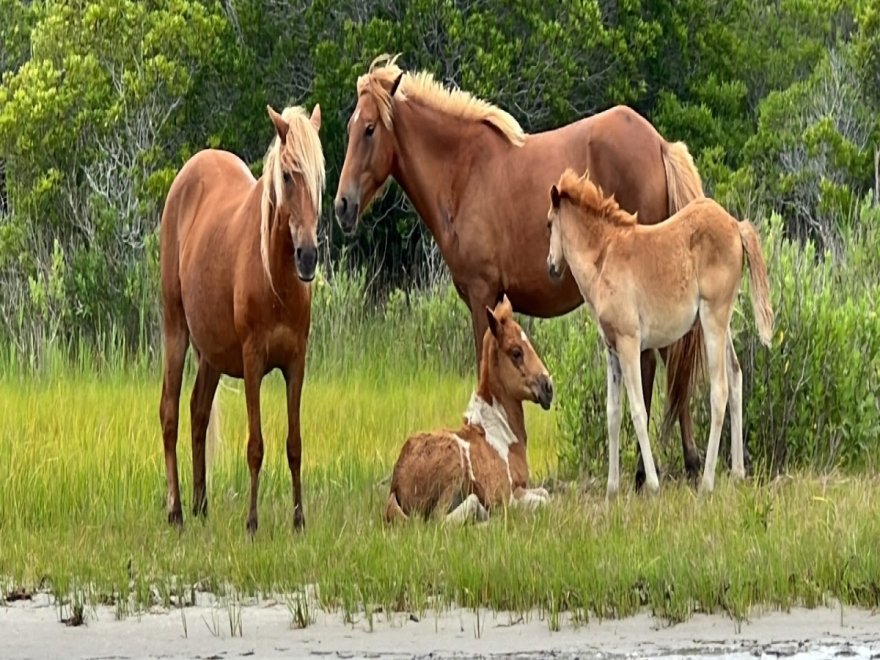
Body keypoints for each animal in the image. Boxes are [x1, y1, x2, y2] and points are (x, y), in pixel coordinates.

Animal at [160, 104, 324, 536]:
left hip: (212, 354)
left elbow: (295, 444)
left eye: (320, 175)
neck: (276, 279)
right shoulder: (253, 360)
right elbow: (255, 446)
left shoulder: (296, 362)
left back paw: (201, 505)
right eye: (287, 174)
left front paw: (299, 520)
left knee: (198, 412)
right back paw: (176, 510)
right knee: (170, 413)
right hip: (175, 331)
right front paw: (252, 522)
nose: (308, 256)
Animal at [334, 55, 704, 490]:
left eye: (369, 128)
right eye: (350, 127)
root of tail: (659, 143)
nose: (342, 205)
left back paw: (653, 471)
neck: (462, 173)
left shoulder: (481, 296)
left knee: (656, 364)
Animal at [384, 296, 552, 524]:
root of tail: (395, 486)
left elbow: (545, 493)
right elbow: (542, 501)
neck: (502, 434)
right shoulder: (505, 496)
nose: (548, 388)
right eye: (516, 352)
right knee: (439, 519)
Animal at [544, 168, 768, 498]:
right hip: (721, 322)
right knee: (736, 375)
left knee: (719, 390)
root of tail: (735, 225)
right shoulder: (611, 349)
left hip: (712, 319)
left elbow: (638, 410)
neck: (604, 258)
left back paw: (707, 483)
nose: (551, 266)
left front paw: (651, 483)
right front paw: (611, 489)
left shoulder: (629, 343)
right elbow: (612, 413)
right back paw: (738, 473)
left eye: (549, 223)